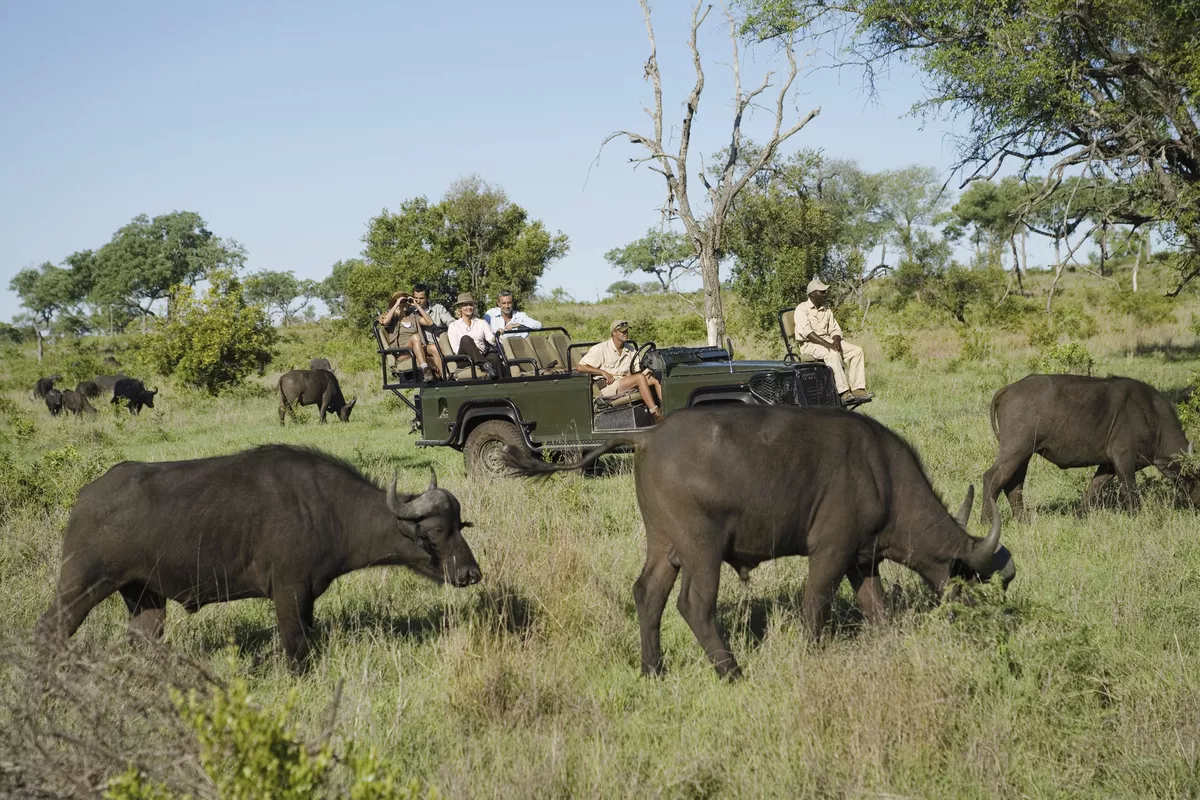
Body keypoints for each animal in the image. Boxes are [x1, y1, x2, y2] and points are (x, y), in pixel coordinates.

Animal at [504, 410, 1012, 681]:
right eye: (972, 582)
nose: (980, 622)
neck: (882, 475)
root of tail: (646, 436)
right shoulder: (830, 554)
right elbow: (815, 604)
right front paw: (813, 653)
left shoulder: (860, 560)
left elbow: (878, 608)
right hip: (701, 549)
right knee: (694, 605)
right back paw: (731, 671)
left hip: (663, 546)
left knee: (647, 594)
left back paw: (653, 670)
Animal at [984, 376, 1200, 520]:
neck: (1153, 416)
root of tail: (1009, 388)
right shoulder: (1123, 458)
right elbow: (1130, 491)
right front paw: (1136, 517)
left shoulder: (1109, 465)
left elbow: (1094, 488)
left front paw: (1080, 516)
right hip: (1015, 450)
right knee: (992, 477)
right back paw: (986, 520)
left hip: (1024, 454)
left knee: (1014, 484)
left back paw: (1022, 519)